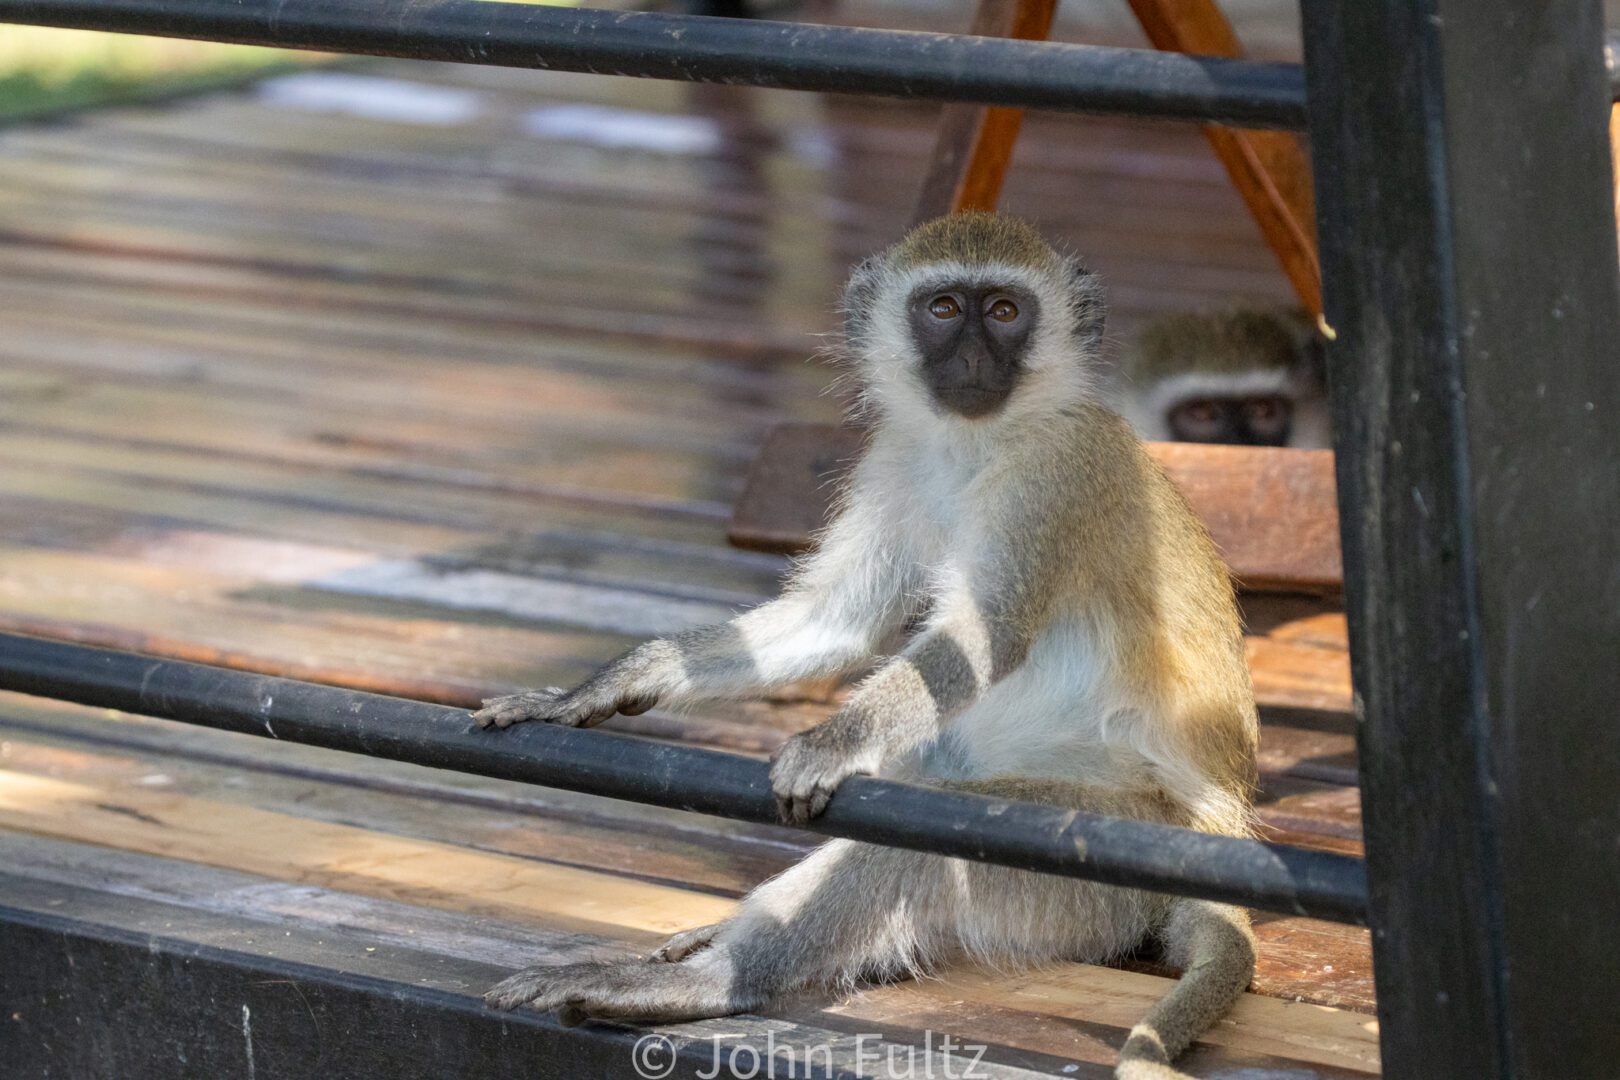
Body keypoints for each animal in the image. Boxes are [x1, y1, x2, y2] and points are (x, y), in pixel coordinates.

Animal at [473, 213, 1257, 1080]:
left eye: (1006, 311)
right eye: (944, 308)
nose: (975, 355)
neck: (976, 442)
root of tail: (1218, 836)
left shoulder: (1054, 477)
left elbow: (980, 640)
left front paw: (827, 744)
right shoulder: (896, 458)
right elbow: (837, 618)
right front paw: (607, 683)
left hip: (1111, 850)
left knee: (930, 839)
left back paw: (722, 979)